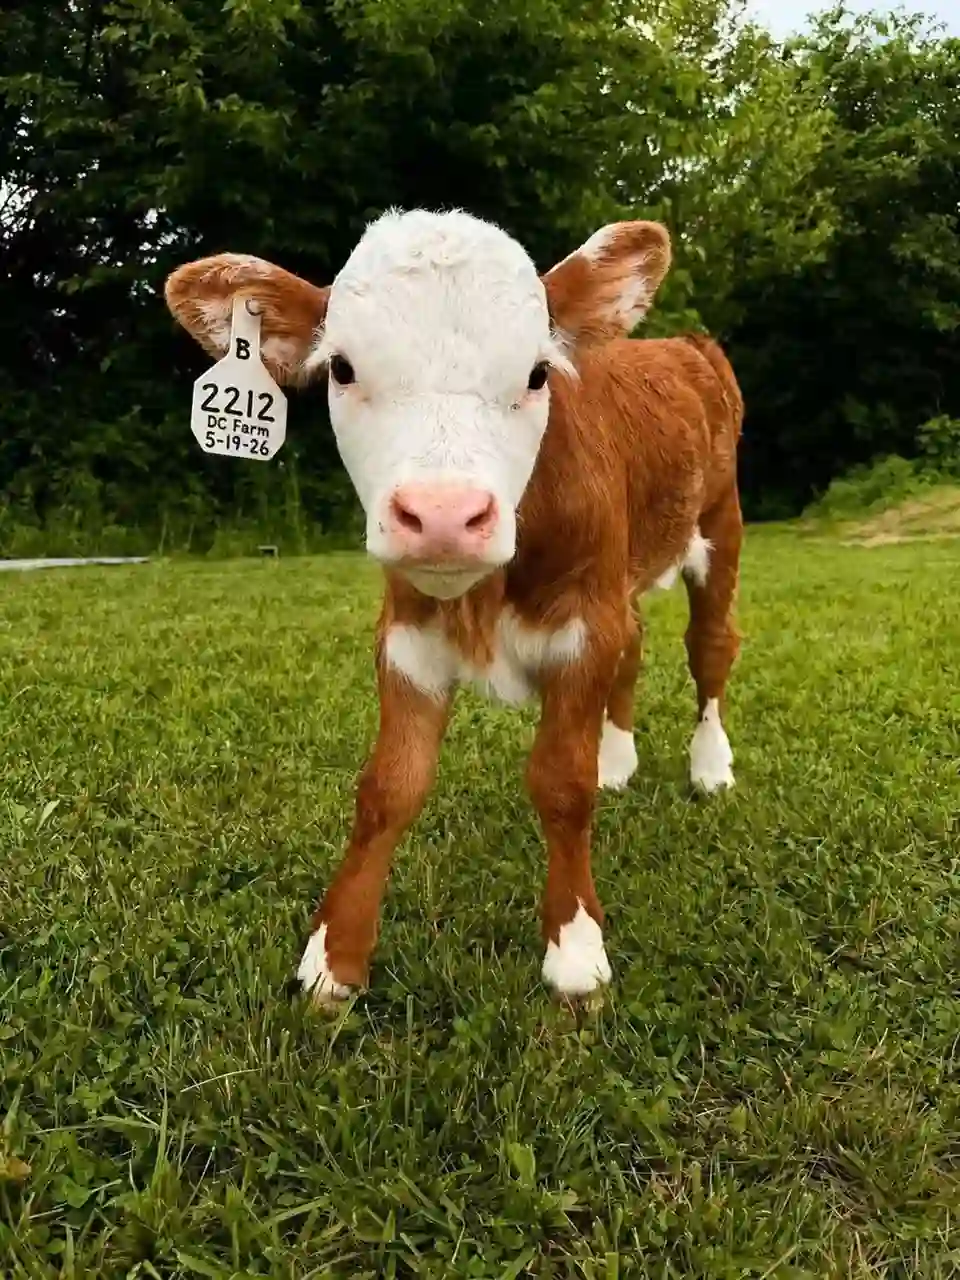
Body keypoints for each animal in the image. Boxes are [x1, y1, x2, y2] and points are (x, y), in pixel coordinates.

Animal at [165, 208, 744, 1006]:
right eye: (342, 368)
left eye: (537, 373)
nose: (442, 515)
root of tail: (684, 342)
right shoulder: (408, 636)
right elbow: (388, 787)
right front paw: (334, 955)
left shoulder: (583, 627)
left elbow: (561, 784)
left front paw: (575, 949)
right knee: (636, 645)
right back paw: (619, 758)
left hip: (720, 528)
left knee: (710, 648)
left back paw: (711, 765)